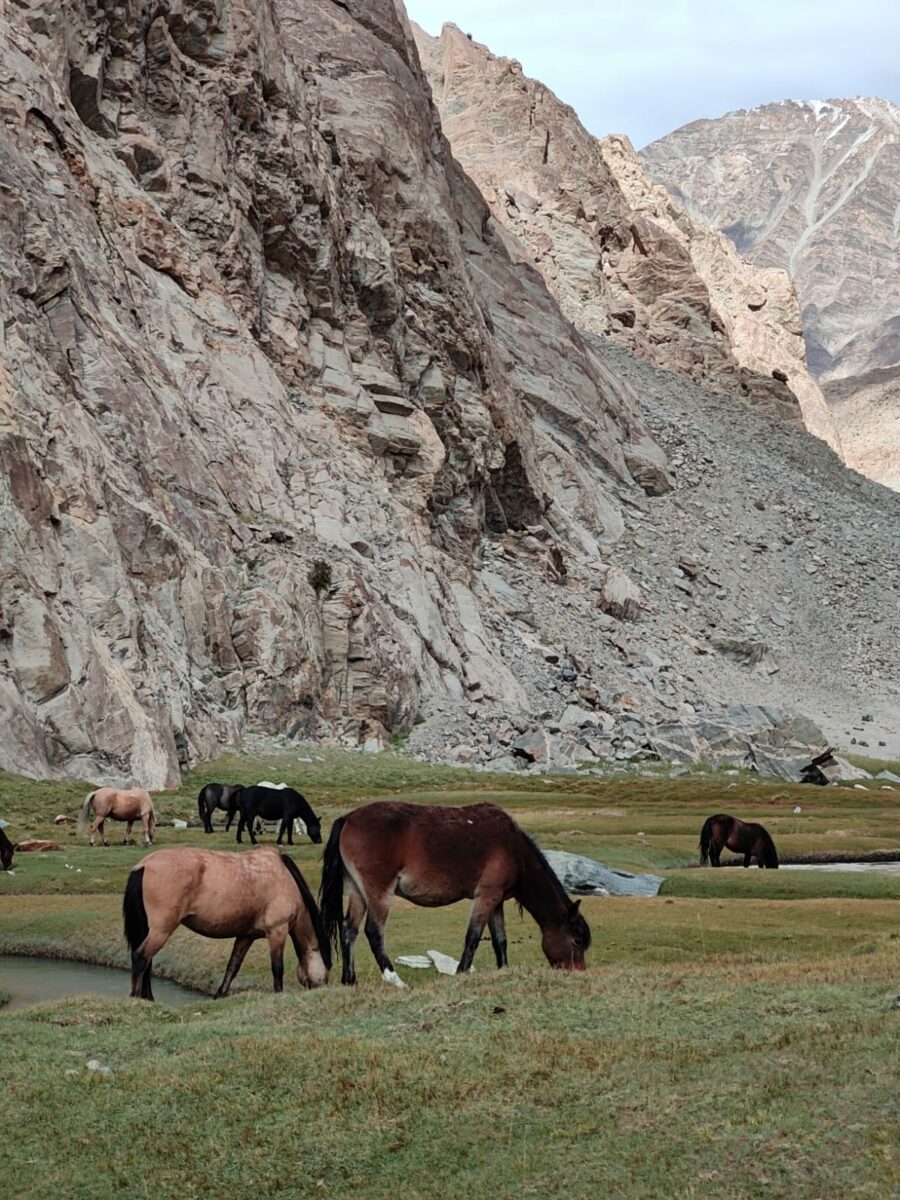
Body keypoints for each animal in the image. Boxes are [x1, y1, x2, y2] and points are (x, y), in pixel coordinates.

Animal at [121, 844, 328, 1003]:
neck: (285, 878)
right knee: (141, 957)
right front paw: (278, 994)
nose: (322, 988)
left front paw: (220, 995)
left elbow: (232, 967)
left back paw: (148, 997)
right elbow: (277, 967)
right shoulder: (278, 930)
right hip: (161, 930)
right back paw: (137, 997)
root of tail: (144, 865)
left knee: (147, 960)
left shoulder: (246, 936)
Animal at [321, 801, 595, 988]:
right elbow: (473, 937)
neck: (513, 848)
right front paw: (461, 973)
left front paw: (503, 971)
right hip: (379, 892)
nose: (579, 972)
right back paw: (395, 980)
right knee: (373, 932)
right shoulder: (485, 897)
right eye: (576, 941)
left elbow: (500, 940)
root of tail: (348, 819)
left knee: (349, 930)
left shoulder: (496, 901)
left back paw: (349, 980)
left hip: (358, 891)